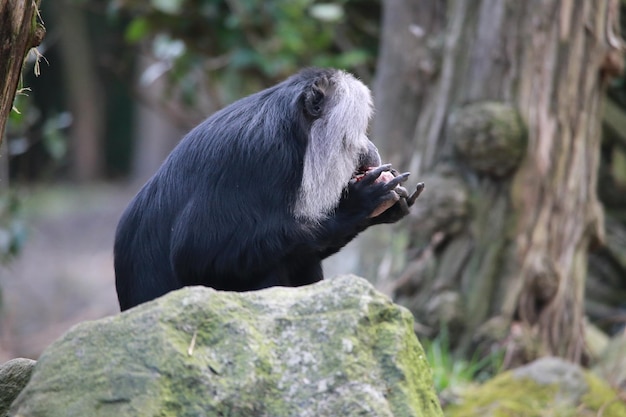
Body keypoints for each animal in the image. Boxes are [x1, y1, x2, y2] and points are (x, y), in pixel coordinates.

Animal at [114, 67, 422, 308]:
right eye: (353, 137)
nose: (371, 149)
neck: (296, 136)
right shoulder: (259, 157)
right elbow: (195, 254)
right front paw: (353, 208)